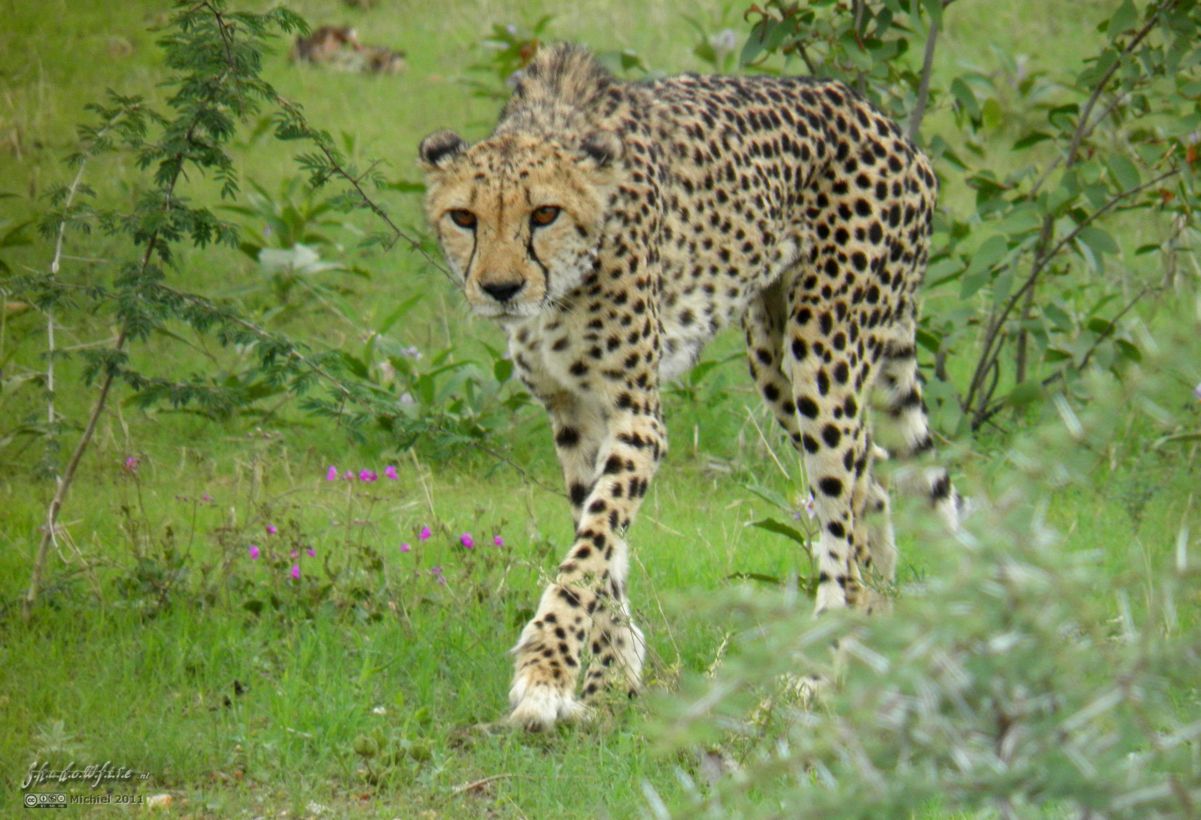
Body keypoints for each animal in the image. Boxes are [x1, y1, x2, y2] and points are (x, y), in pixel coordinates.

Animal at [417, 43, 960, 729]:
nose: (500, 288)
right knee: (873, 475)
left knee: (842, 506)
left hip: (823, 353)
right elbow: (600, 546)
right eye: (463, 217)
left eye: (544, 213)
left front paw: (545, 672)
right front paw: (610, 677)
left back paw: (823, 666)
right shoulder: (573, 413)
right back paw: (875, 620)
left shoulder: (637, 415)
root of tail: (887, 125)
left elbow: (591, 544)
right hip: (774, 361)